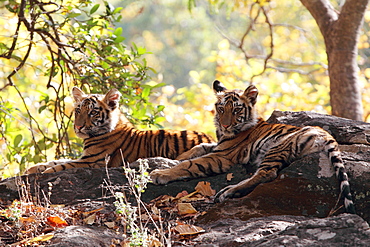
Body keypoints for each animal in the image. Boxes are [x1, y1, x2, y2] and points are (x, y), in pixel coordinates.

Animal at [25, 87, 214, 174]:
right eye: (78, 110)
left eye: (92, 112)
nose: (78, 127)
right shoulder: (85, 157)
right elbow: (57, 160)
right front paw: (34, 168)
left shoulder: (92, 161)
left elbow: (64, 165)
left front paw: (46, 172)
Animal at [150, 80, 356, 213]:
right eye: (221, 109)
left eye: (236, 110)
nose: (225, 125)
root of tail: (328, 135)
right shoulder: (217, 146)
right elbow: (197, 147)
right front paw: (171, 159)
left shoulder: (222, 156)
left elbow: (190, 164)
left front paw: (160, 173)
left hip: (277, 147)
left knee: (266, 173)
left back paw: (228, 191)